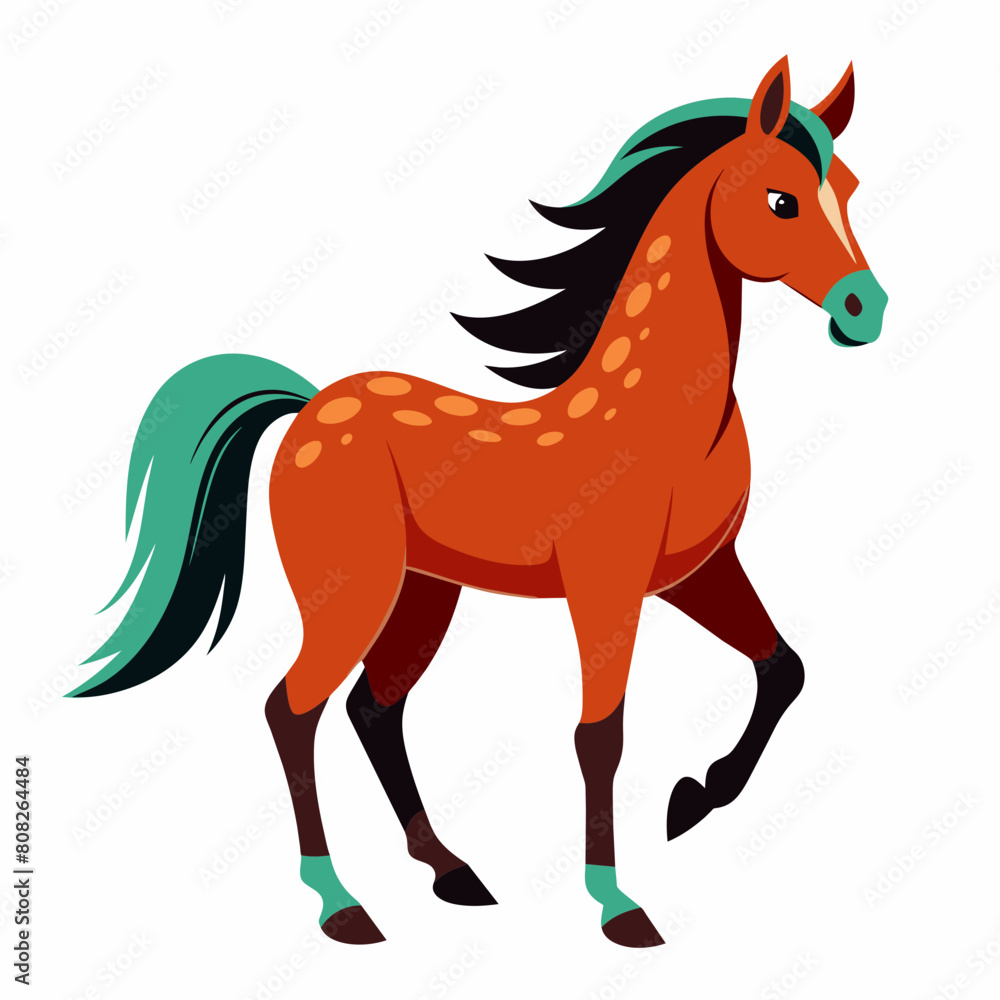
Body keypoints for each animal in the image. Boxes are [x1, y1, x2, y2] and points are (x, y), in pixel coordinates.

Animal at [70, 57, 887, 948]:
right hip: (351, 594)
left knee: (373, 709)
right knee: (293, 709)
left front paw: (692, 800)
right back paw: (341, 904)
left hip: (424, 594)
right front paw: (617, 904)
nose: (865, 310)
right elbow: (600, 736)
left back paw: (450, 872)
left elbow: (783, 668)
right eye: (782, 200)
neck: (663, 416)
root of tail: (310, 404)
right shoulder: (607, 590)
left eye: (849, 186)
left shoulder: (697, 575)